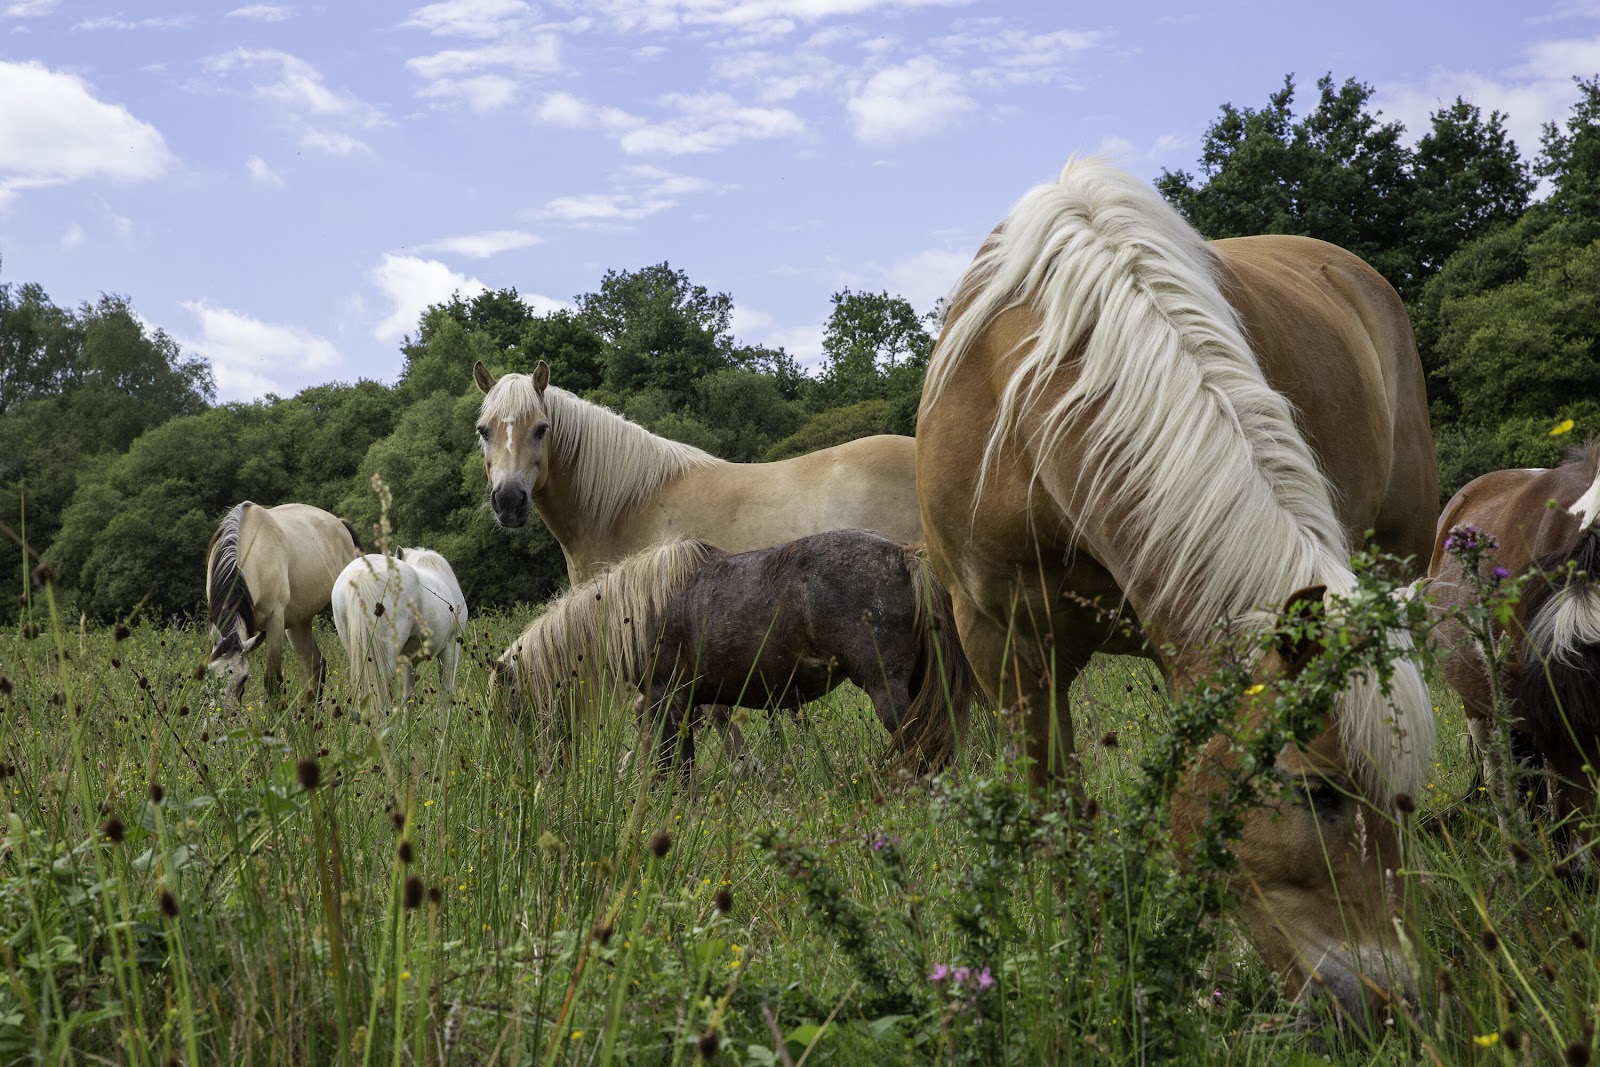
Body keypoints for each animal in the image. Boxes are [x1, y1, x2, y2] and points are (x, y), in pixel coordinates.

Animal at [206, 502, 361, 704]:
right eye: (209, 675)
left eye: (243, 678)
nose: (223, 712)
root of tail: (340, 524)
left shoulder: (275, 621)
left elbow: (272, 681)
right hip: (299, 623)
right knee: (316, 664)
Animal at [493, 530, 975, 774]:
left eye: (514, 710)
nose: (534, 774)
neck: (637, 611)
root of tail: (905, 557)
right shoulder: (685, 704)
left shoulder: (666, 700)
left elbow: (671, 765)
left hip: (886, 688)